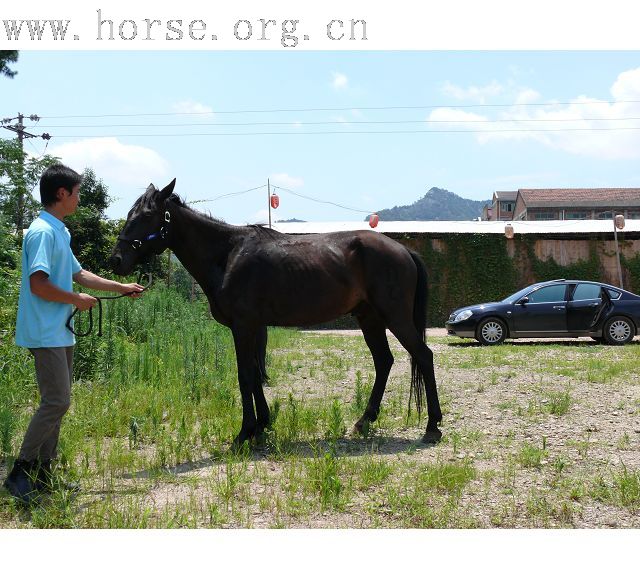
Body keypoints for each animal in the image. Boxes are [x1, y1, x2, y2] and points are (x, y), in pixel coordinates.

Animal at [110, 179, 442, 446]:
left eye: (146, 216)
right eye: (129, 215)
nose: (116, 260)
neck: (227, 255)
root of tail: (403, 250)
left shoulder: (243, 326)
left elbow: (245, 375)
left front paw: (244, 433)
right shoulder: (253, 327)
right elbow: (256, 373)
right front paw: (262, 426)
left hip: (395, 317)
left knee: (423, 356)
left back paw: (432, 427)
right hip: (369, 318)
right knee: (384, 361)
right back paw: (364, 421)